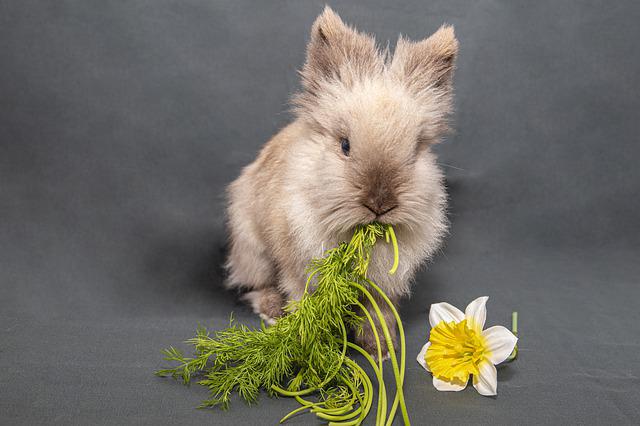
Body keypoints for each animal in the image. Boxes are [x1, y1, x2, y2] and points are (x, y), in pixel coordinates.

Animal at [225, 6, 456, 357]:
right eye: (345, 145)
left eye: (416, 150)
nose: (380, 204)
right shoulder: (299, 267)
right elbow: (302, 299)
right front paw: (307, 343)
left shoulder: (382, 286)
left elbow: (377, 312)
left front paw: (381, 349)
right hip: (253, 250)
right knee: (255, 284)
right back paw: (272, 311)